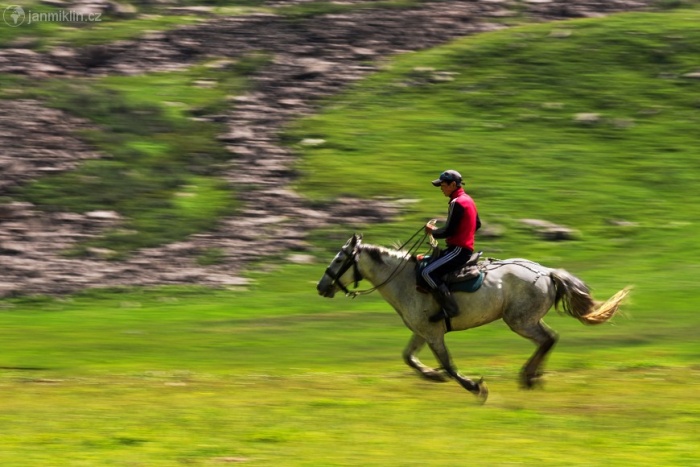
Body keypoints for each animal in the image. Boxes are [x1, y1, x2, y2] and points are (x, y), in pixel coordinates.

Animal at [318, 236, 628, 404]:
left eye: (338, 261)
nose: (321, 287)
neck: (405, 281)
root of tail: (546, 272)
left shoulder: (433, 334)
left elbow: (449, 364)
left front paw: (475, 386)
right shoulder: (421, 332)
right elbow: (409, 358)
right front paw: (433, 376)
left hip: (520, 321)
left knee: (548, 339)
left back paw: (528, 377)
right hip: (524, 320)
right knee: (549, 340)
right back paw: (533, 378)